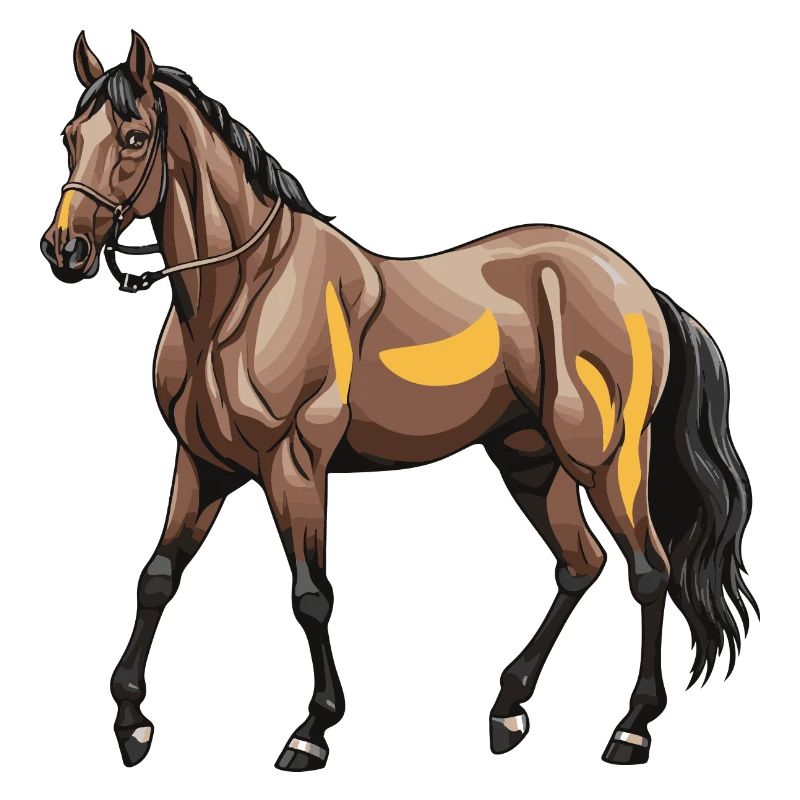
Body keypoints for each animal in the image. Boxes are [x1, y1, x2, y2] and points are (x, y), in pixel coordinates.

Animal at [41, 31, 757, 772]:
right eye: (69, 136)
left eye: (133, 135)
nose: (64, 249)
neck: (243, 295)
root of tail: (638, 289)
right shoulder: (203, 465)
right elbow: (157, 576)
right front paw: (131, 722)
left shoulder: (294, 466)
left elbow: (310, 595)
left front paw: (312, 729)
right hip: (531, 463)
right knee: (580, 563)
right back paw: (508, 708)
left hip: (605, 460)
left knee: (650, 571)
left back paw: (631, 727)